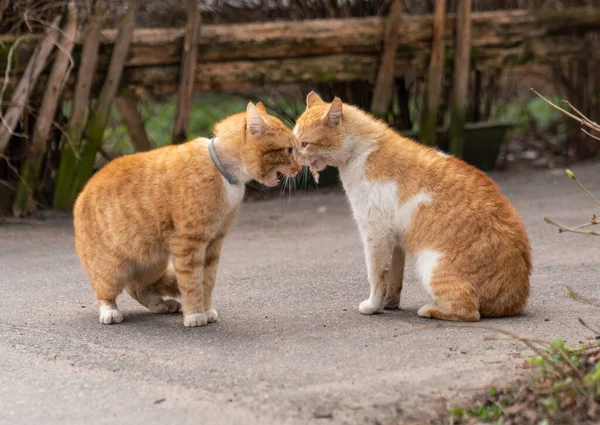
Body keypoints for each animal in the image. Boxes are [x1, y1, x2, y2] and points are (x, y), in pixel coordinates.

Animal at [74, 101, 300, 326]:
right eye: (289, 150)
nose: (298, 168)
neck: (224, 172)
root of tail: (82, 192)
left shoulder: (214, 242)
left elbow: (207, 281)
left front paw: (206, 309)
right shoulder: (188, 243)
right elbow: (191, 282)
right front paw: (195, 314)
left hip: (152, 261)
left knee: (137, 287)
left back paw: (161, 304)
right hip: (113, 267)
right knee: (106, 292)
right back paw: (110, 311)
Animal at [294, 91, 528, 320]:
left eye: (304, 144)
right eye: (295, 142)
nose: (293, 156)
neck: (361, 152)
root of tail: (513, 301)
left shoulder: (376, 233)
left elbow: (376, 275)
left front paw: (372, 306)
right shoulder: (395, 239)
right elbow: (393, 277)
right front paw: (389, 304)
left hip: (431, 266)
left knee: (470, 311)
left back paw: (429, 310)